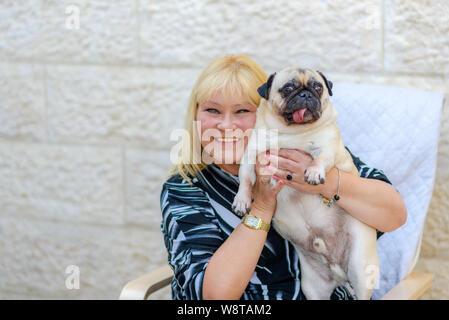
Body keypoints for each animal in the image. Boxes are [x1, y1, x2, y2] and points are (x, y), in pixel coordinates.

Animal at [231, 67, 378, 300]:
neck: (292, 132)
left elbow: (320, 159)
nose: (306, 94)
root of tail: (337, 272)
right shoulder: (250, 157)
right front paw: (242, 200)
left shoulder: (327, 147)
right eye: (288, 88)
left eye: (318, 87)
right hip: (312, 288)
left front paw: (314, 173)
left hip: (361, 270)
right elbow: (244, 180)